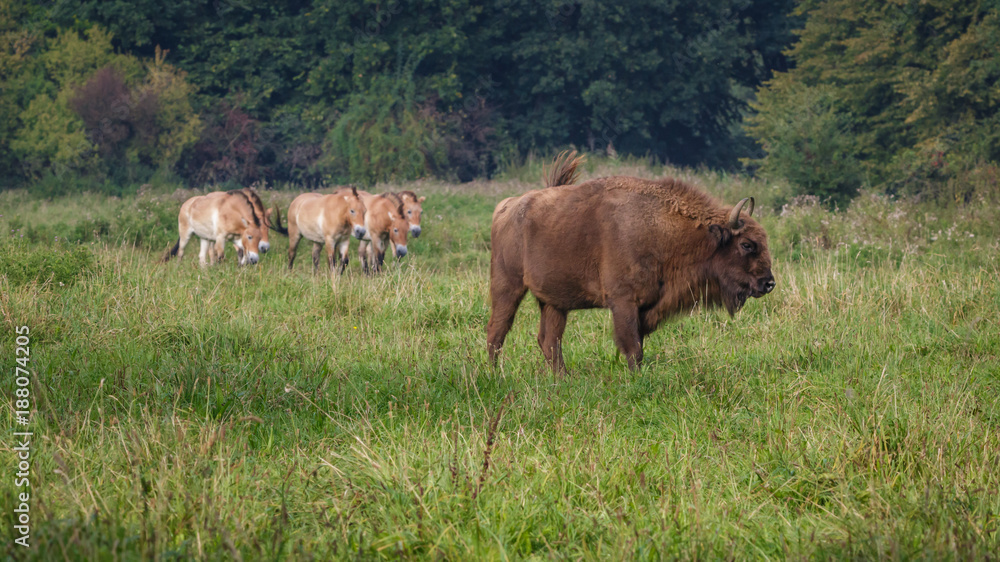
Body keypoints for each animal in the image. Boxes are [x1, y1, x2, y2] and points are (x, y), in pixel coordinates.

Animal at [488, 152, 776, 372]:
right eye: (746, 244)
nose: (769, 283)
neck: (662, 229)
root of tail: (507, 206)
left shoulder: (648, 307)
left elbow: (639, 343)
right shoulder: (623, 302)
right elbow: (632, 347)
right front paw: (635, 377)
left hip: (554, 301)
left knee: (549, 340)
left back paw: (562, 378)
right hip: (507, 286)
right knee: (497, 331)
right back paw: (494, 374)